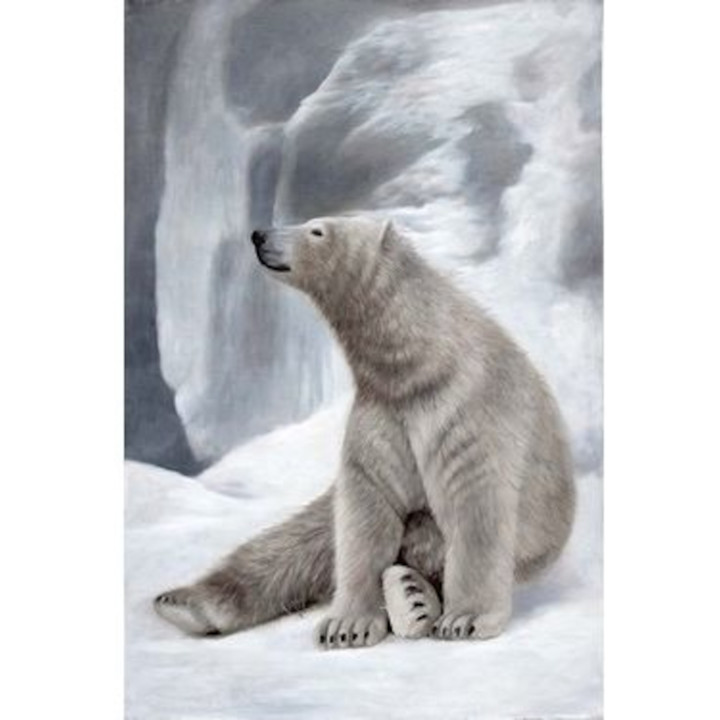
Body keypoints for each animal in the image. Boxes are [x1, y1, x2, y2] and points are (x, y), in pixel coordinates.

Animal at [154, 216, 575, 649]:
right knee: (299, 541)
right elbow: (366, 512)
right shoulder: (382, 413)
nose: (259, 235)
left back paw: (413, 596)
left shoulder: (468, 409)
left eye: (317, 230)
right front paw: (348, 626)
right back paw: (184, 604)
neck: (419, 364)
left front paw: (465, 619)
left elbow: (476, 506)